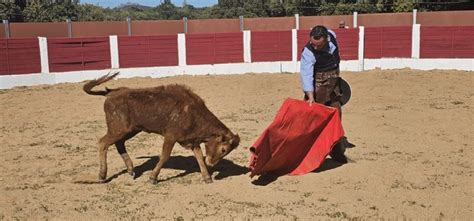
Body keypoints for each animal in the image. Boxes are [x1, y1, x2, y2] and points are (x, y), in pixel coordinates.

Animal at [82, 72, 241, 183]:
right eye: (223, 149)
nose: (211, 163)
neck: (192, 113)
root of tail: (111, 93)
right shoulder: (171, 136)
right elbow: (164, 156)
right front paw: (152, 178)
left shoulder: (192, 140)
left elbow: (199, 157)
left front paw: (207, 177)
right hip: (118, 129)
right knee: (103, 143)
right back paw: (102, 176)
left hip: (130, 130)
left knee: (119, 144)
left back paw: (131, 170)